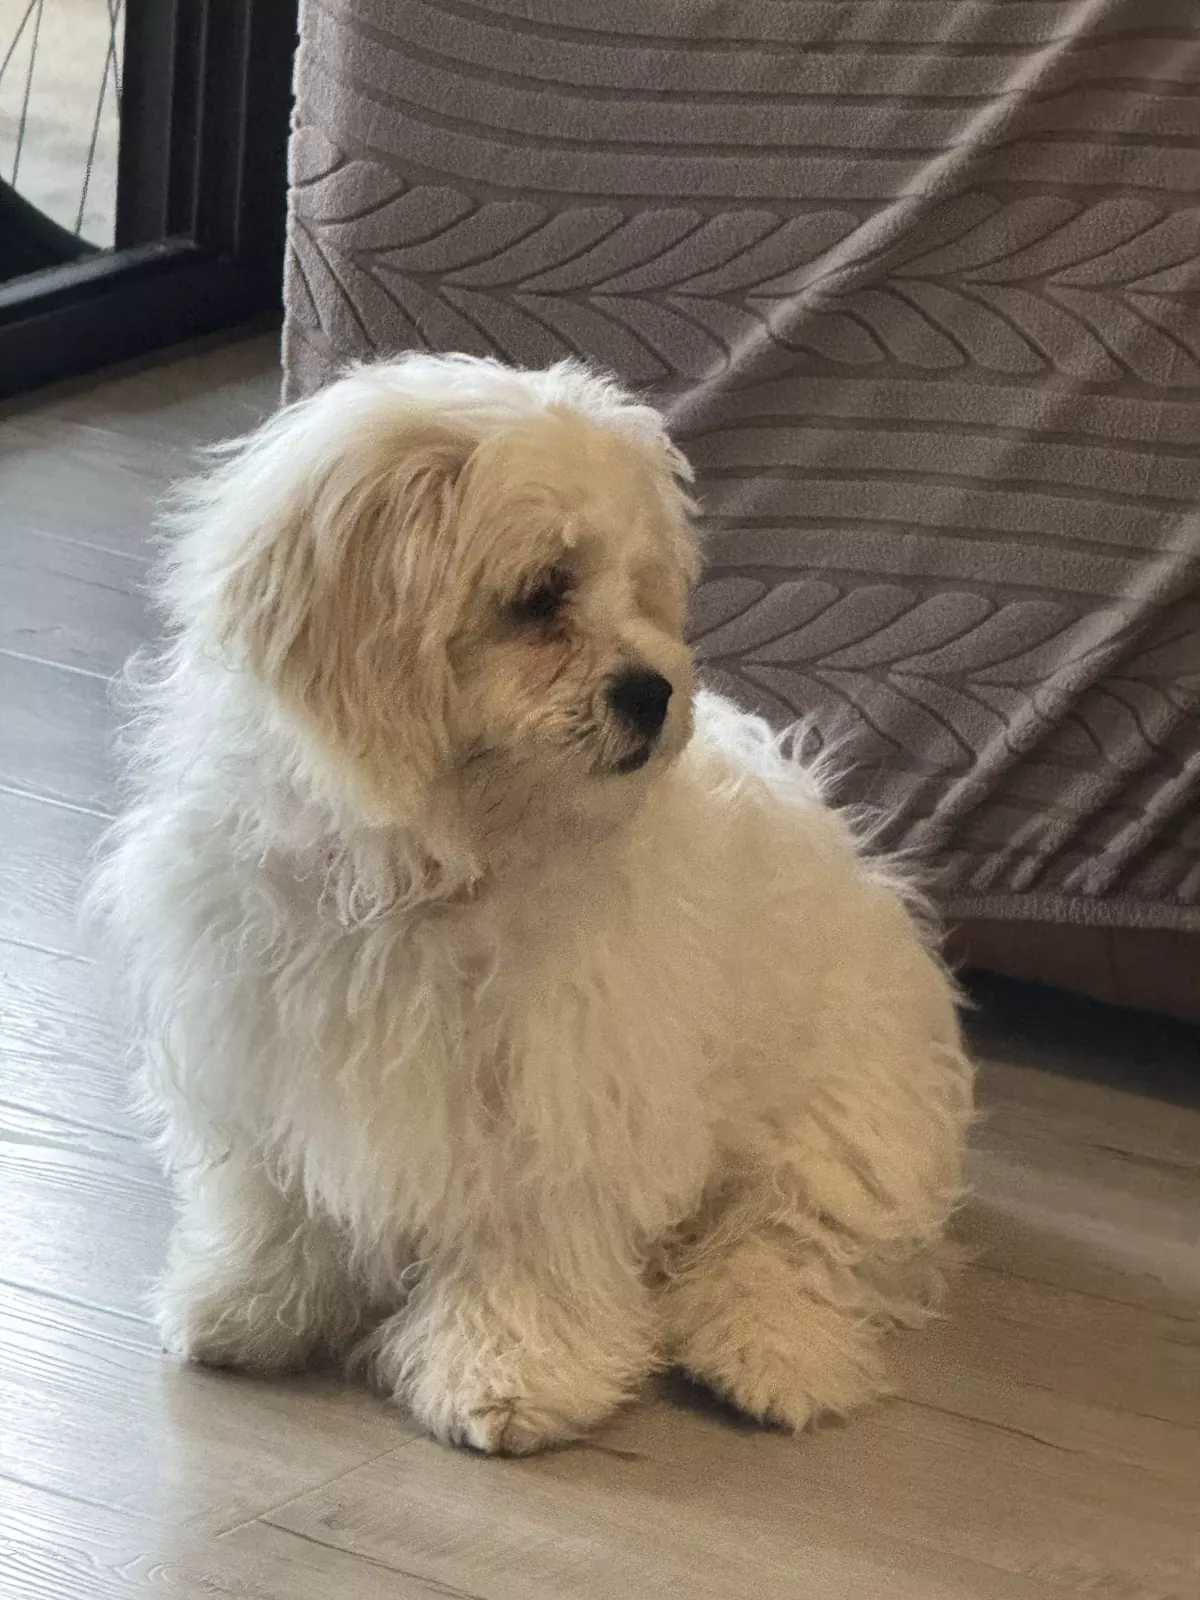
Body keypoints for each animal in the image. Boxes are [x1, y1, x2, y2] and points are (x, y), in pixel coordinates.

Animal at [91, 354, 973, 1455]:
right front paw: (254, 1305)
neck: (437, 862)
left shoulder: (560, 1088)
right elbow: (278, 1200)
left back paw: (765, 1355)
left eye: (638, 589)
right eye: (541, 594)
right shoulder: (264, 1048)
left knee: (795, 1240)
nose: (652, 690)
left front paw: (507, 1373)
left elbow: (529, 1241)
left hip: (841, 1115)